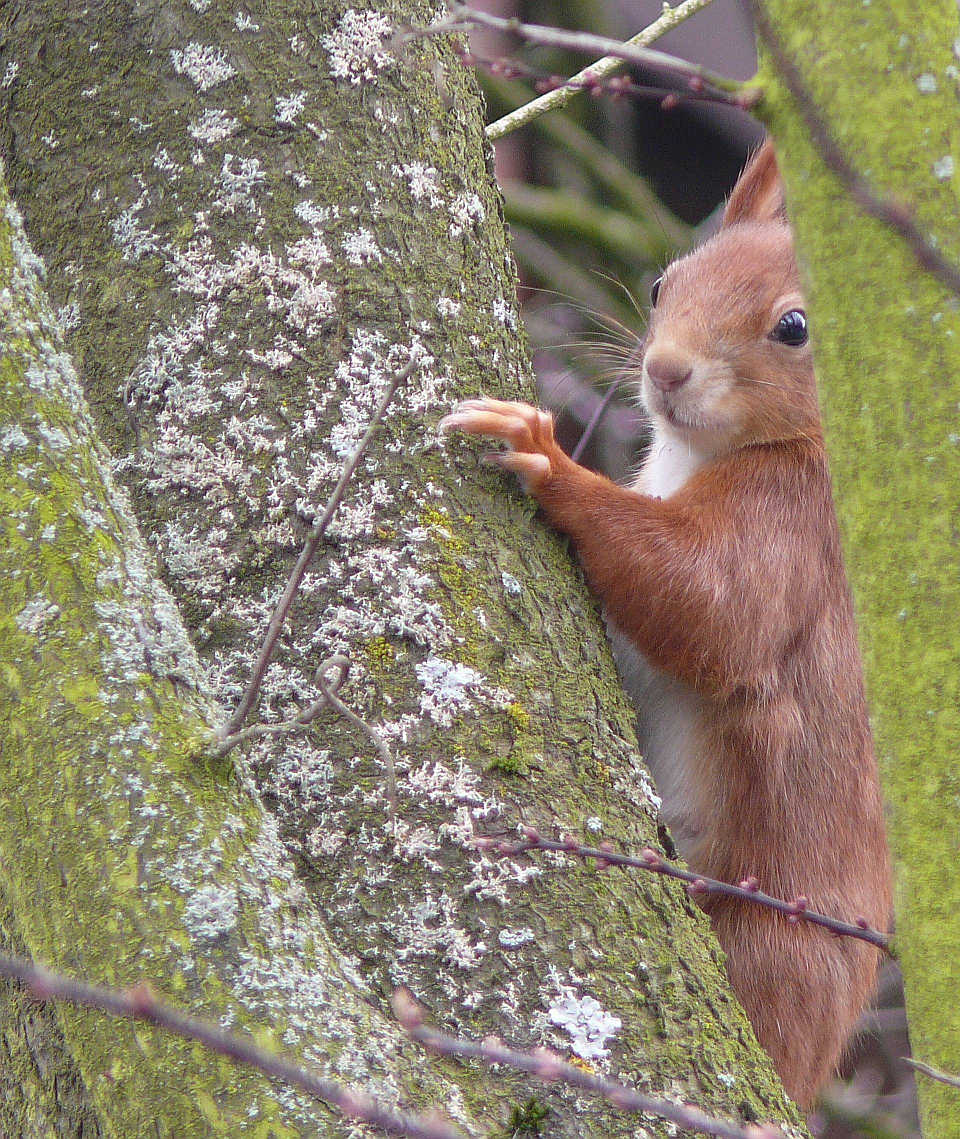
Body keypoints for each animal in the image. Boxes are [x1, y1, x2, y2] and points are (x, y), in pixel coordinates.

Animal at [441, 141, 891, 1108]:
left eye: (795, 328)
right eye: (662, 284)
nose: (666, 371)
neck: (704, 453)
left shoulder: (795, 529)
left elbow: (711, 608)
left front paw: (549, 459)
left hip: (771, 940)